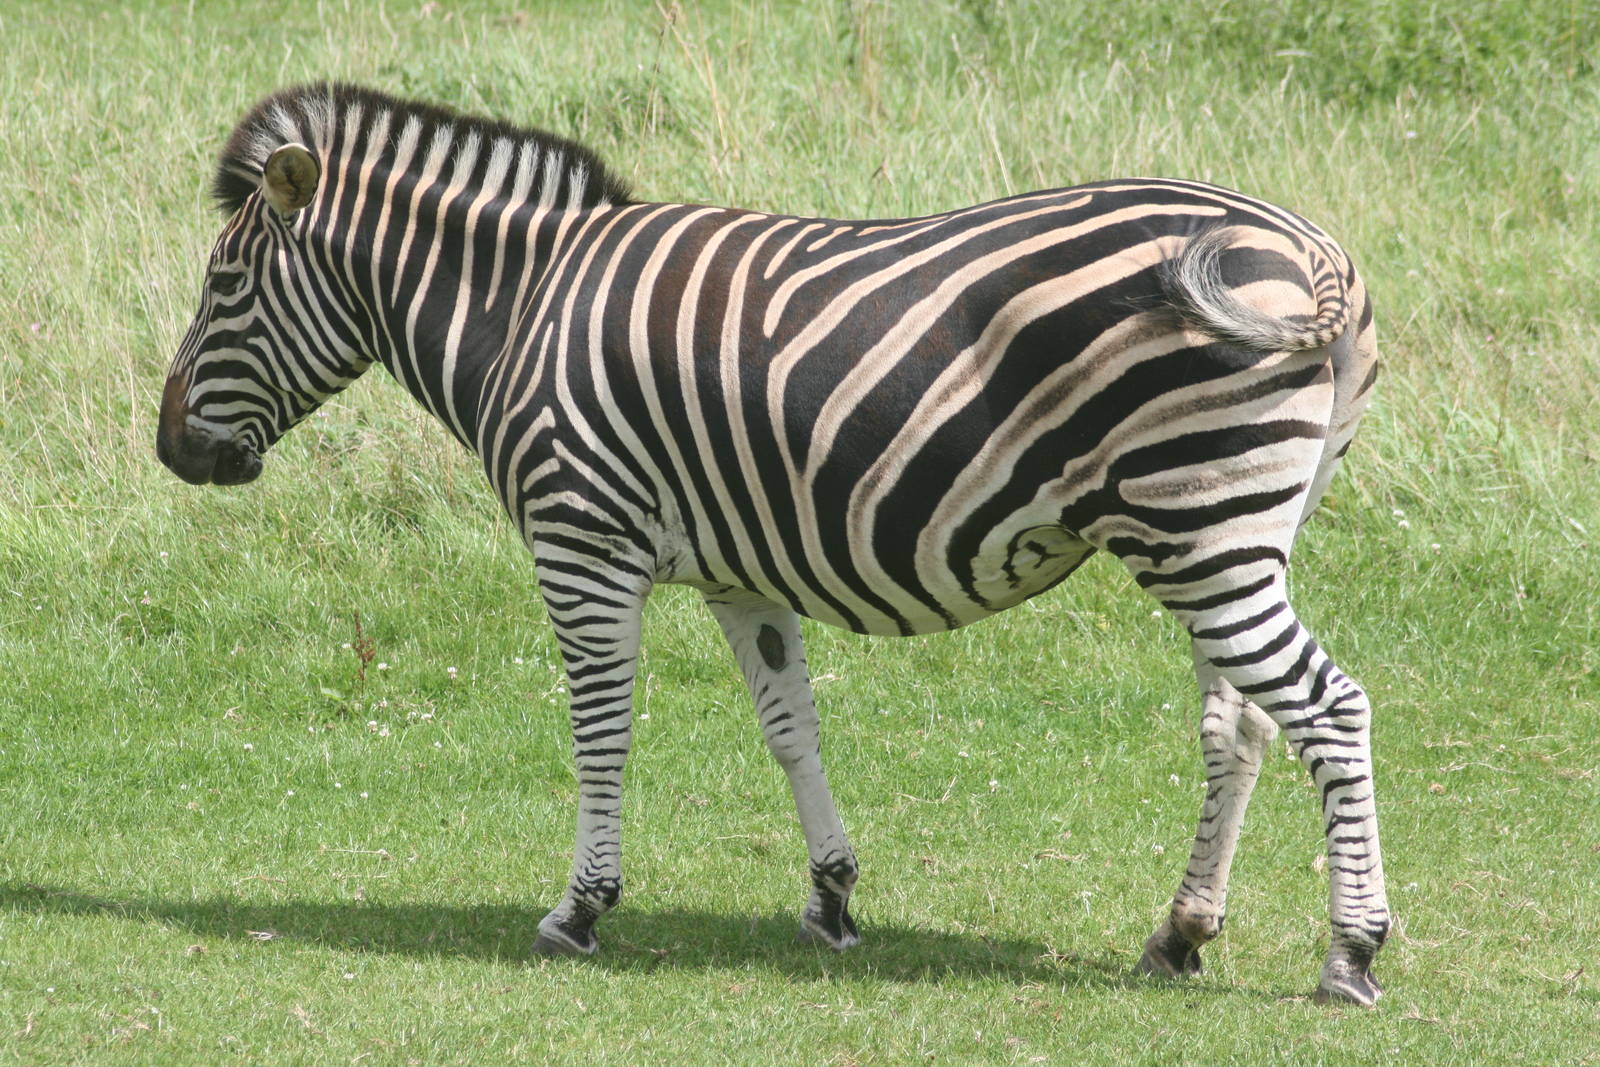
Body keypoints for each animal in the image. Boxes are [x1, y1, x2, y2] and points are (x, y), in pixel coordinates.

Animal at [157, 84, 1389, 1005]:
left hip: (1200, 525)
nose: (173, 448)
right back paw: (1180, 933)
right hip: (1217, 529)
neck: (522, 309)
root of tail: (1315, 251)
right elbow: (790, 727)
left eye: (225, 284)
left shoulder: (581, 538)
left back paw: (1352, 952)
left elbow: (600, 734)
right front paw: (832, 896)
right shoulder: (737, 571)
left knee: (1327, 707)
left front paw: (580, 908)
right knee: (1242, 723)